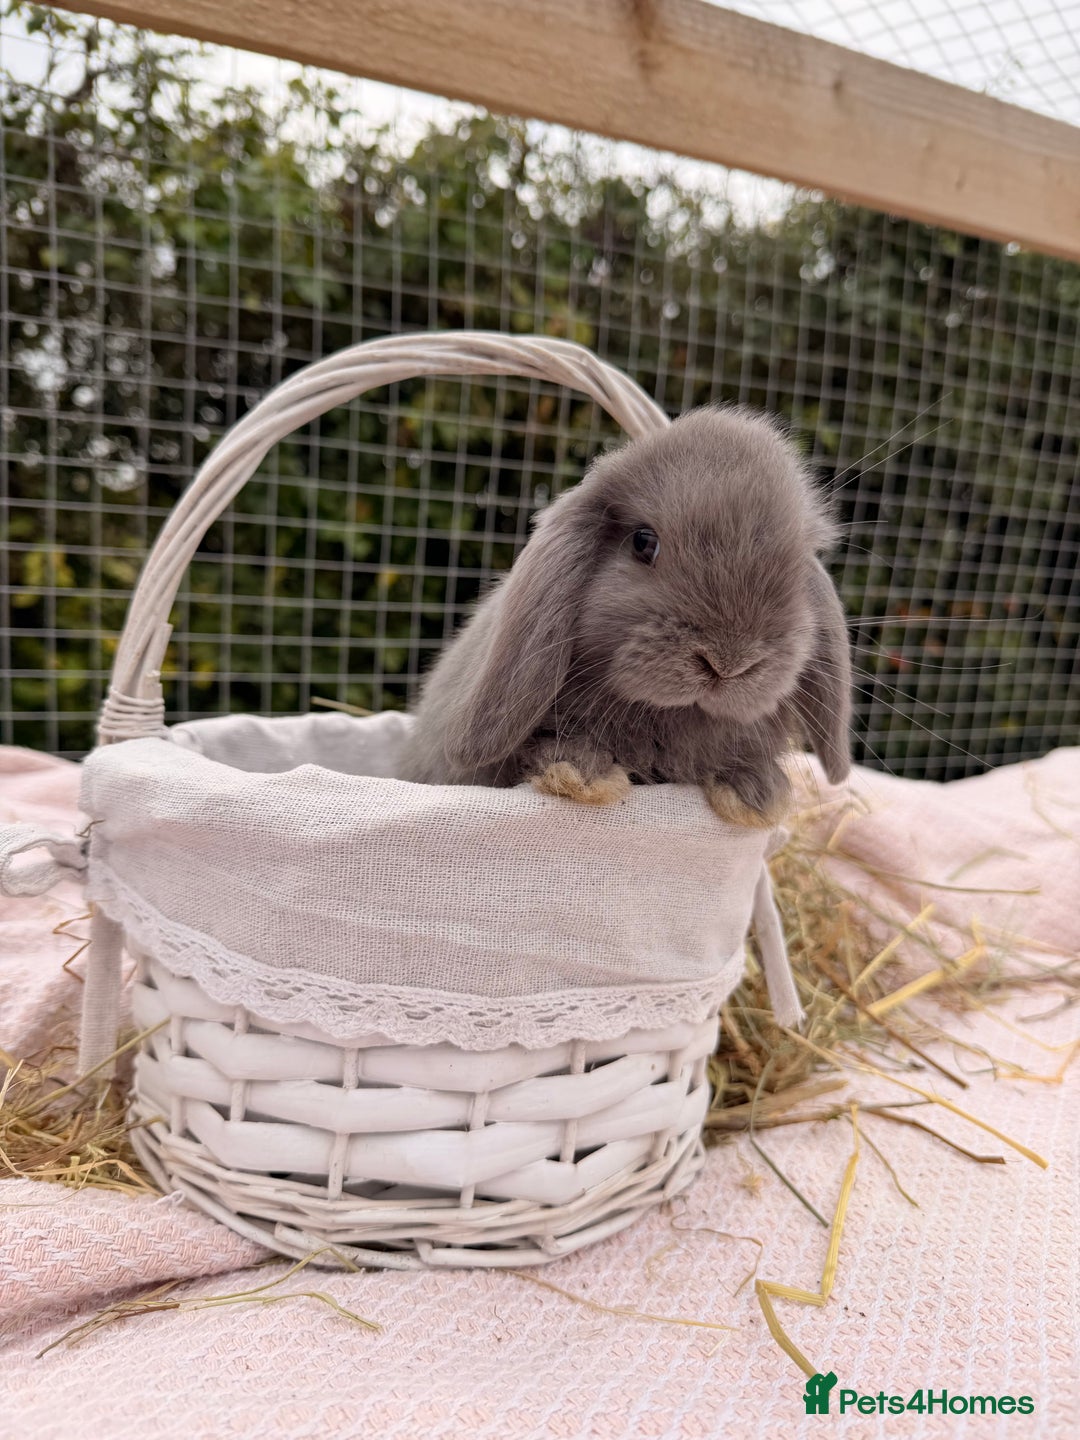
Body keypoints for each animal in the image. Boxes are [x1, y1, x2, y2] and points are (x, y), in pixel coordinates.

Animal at [398, 405, 851, 826]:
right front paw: (582, 775)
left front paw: (757, 795)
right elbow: (555, 746)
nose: (729, 663)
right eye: (643, 542)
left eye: (798, 562)